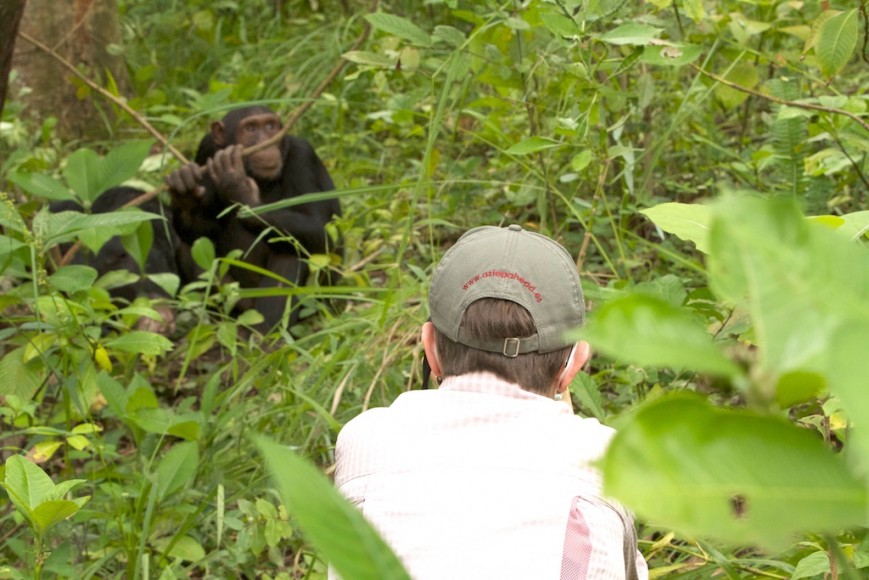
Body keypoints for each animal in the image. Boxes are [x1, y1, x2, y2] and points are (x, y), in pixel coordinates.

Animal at [164, 104, 340, 330]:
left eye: (270, 126)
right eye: (250, 129)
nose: (266, 141)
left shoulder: (303, 156)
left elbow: (320, 229)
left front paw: (236, 185)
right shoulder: (205, 149)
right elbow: (202, 231)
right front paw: (184, 193)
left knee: (291, 253)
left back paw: (265, 334)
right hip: (236, 295)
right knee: (188, 246)